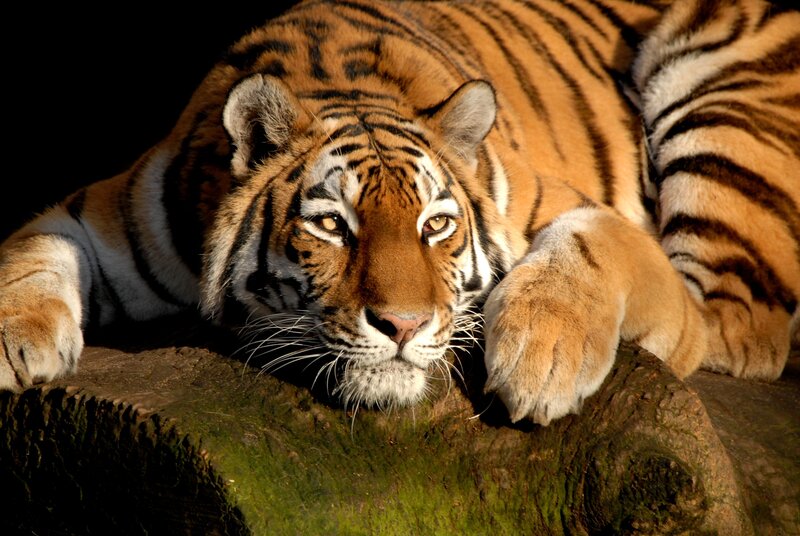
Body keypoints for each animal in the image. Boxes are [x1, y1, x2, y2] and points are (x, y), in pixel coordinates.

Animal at [0, 0, 797, 426]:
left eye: (436, 226)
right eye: (331, 226)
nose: (406, 328)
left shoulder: (585, 217)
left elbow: (588, 246)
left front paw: (543, 360)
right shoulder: (107, 208)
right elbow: (31, 251)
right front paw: (14, 346)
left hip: (722, 106)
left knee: (741, 326)